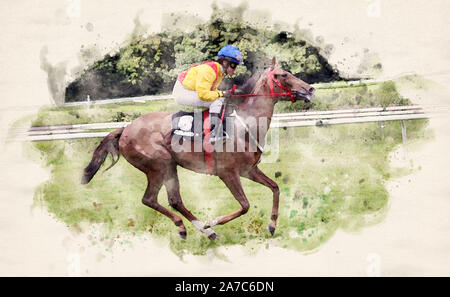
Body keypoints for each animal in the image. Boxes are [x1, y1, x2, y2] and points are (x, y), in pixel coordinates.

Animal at [81, 57, 312, 238]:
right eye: (282, 75)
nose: (310, 89)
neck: (244, 125)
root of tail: (126, 129)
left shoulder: (249, 170)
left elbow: (275, 187)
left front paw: (272, 226)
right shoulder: (228, 173)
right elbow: (245, 205)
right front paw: (212, 221)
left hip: (170, 167)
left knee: (174, 200)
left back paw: (202, 231)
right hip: (159, 165)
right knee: (150, 199)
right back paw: (197, 228)